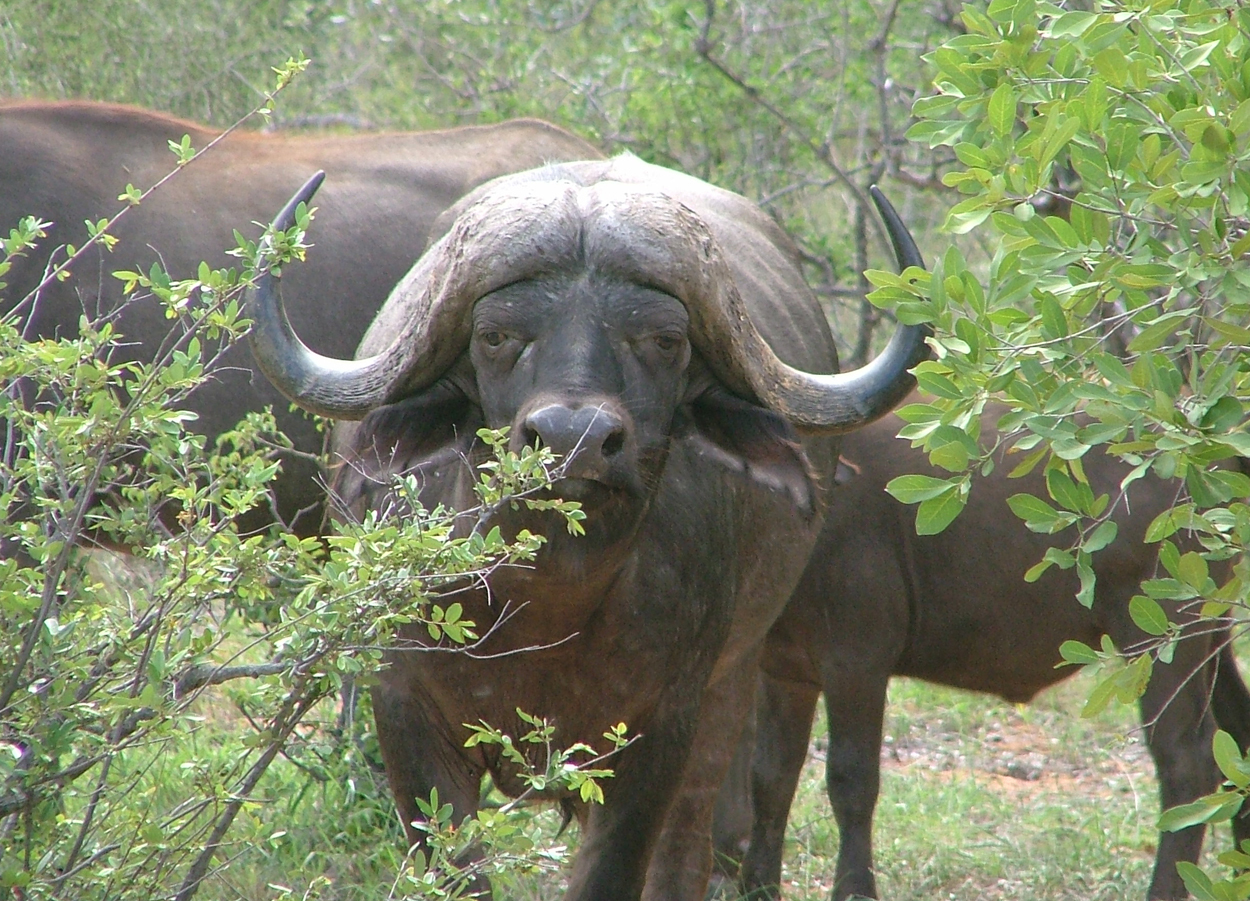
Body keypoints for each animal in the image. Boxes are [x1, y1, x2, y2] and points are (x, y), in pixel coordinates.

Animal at [246, 158, 930, 894]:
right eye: (496, 336)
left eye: (665, 341)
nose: (573, 439)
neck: (549, 607)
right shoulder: (403, 714)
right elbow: (456, 868)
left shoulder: (663, 729)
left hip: (735, 680)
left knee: (694, 839)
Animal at [715, 409, 1250, 899]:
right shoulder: (784, 671)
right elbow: (771, 777)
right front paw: (757, 886)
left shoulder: (857, 661)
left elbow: (851, 780)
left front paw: (854, 889)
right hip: (1210, 630)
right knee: (1235, 736)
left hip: (1161, 635)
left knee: (1186, 760)